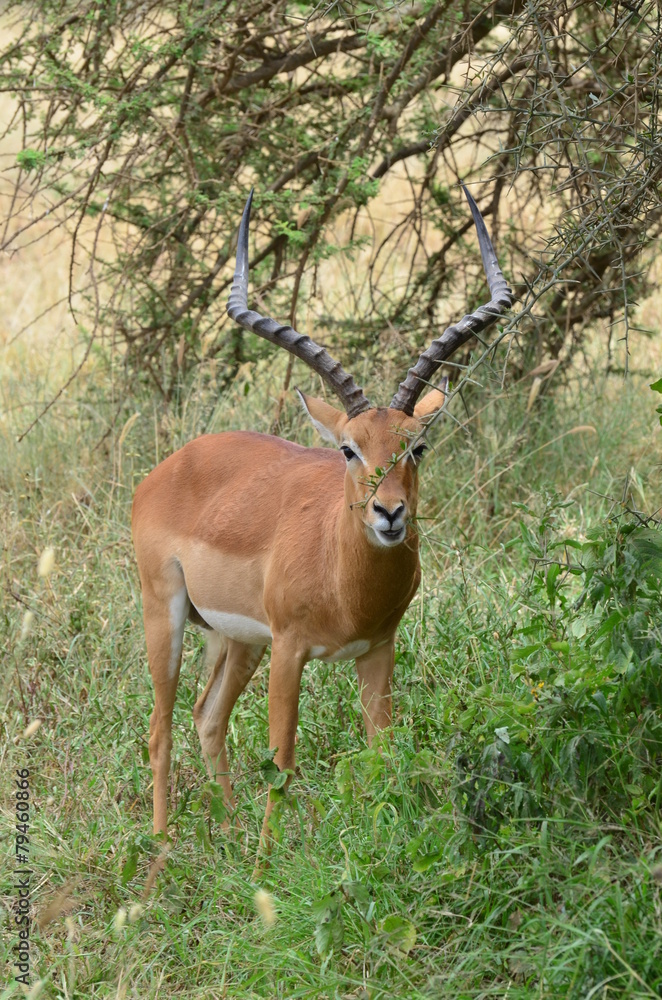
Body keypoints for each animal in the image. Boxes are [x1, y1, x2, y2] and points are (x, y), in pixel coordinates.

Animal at [132, 186, 511, 854]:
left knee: (207, 717)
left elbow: (382, 752)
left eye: (417, 447)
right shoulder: (290, 651)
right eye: (348, 449)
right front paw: (267, 865)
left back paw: (227, 832)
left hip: (235, 638)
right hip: (169, 614)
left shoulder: (377, 650)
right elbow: (282, 760)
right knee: (161, 726)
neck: (345, 582)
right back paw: (165, 848)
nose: (390, 512)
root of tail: (172, 466)